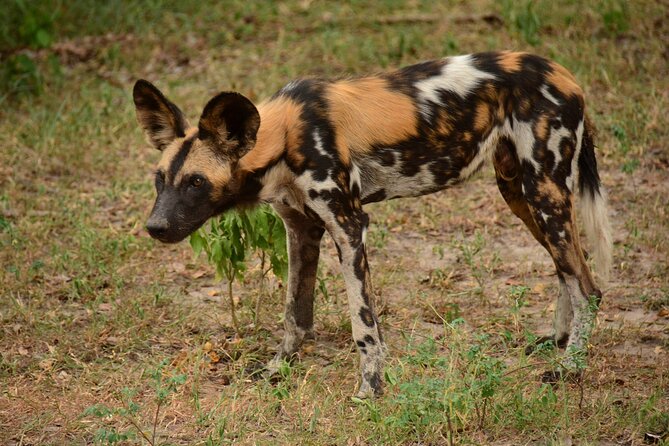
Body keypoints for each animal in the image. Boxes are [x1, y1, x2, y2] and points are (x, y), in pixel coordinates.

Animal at [132, 51, 612, 398]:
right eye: (160, 179)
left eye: (196, 182)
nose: (155, 228)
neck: (284, 137)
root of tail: (564, 74)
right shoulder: (301, 230)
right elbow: (295, 314)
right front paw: (277, 368)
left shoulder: (349, 227)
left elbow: (364, 326)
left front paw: (370, 388)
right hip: (521, 194)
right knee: (567, 269)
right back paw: (558, 340)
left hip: (543, 194)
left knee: (588, 287)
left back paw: (569, 369)